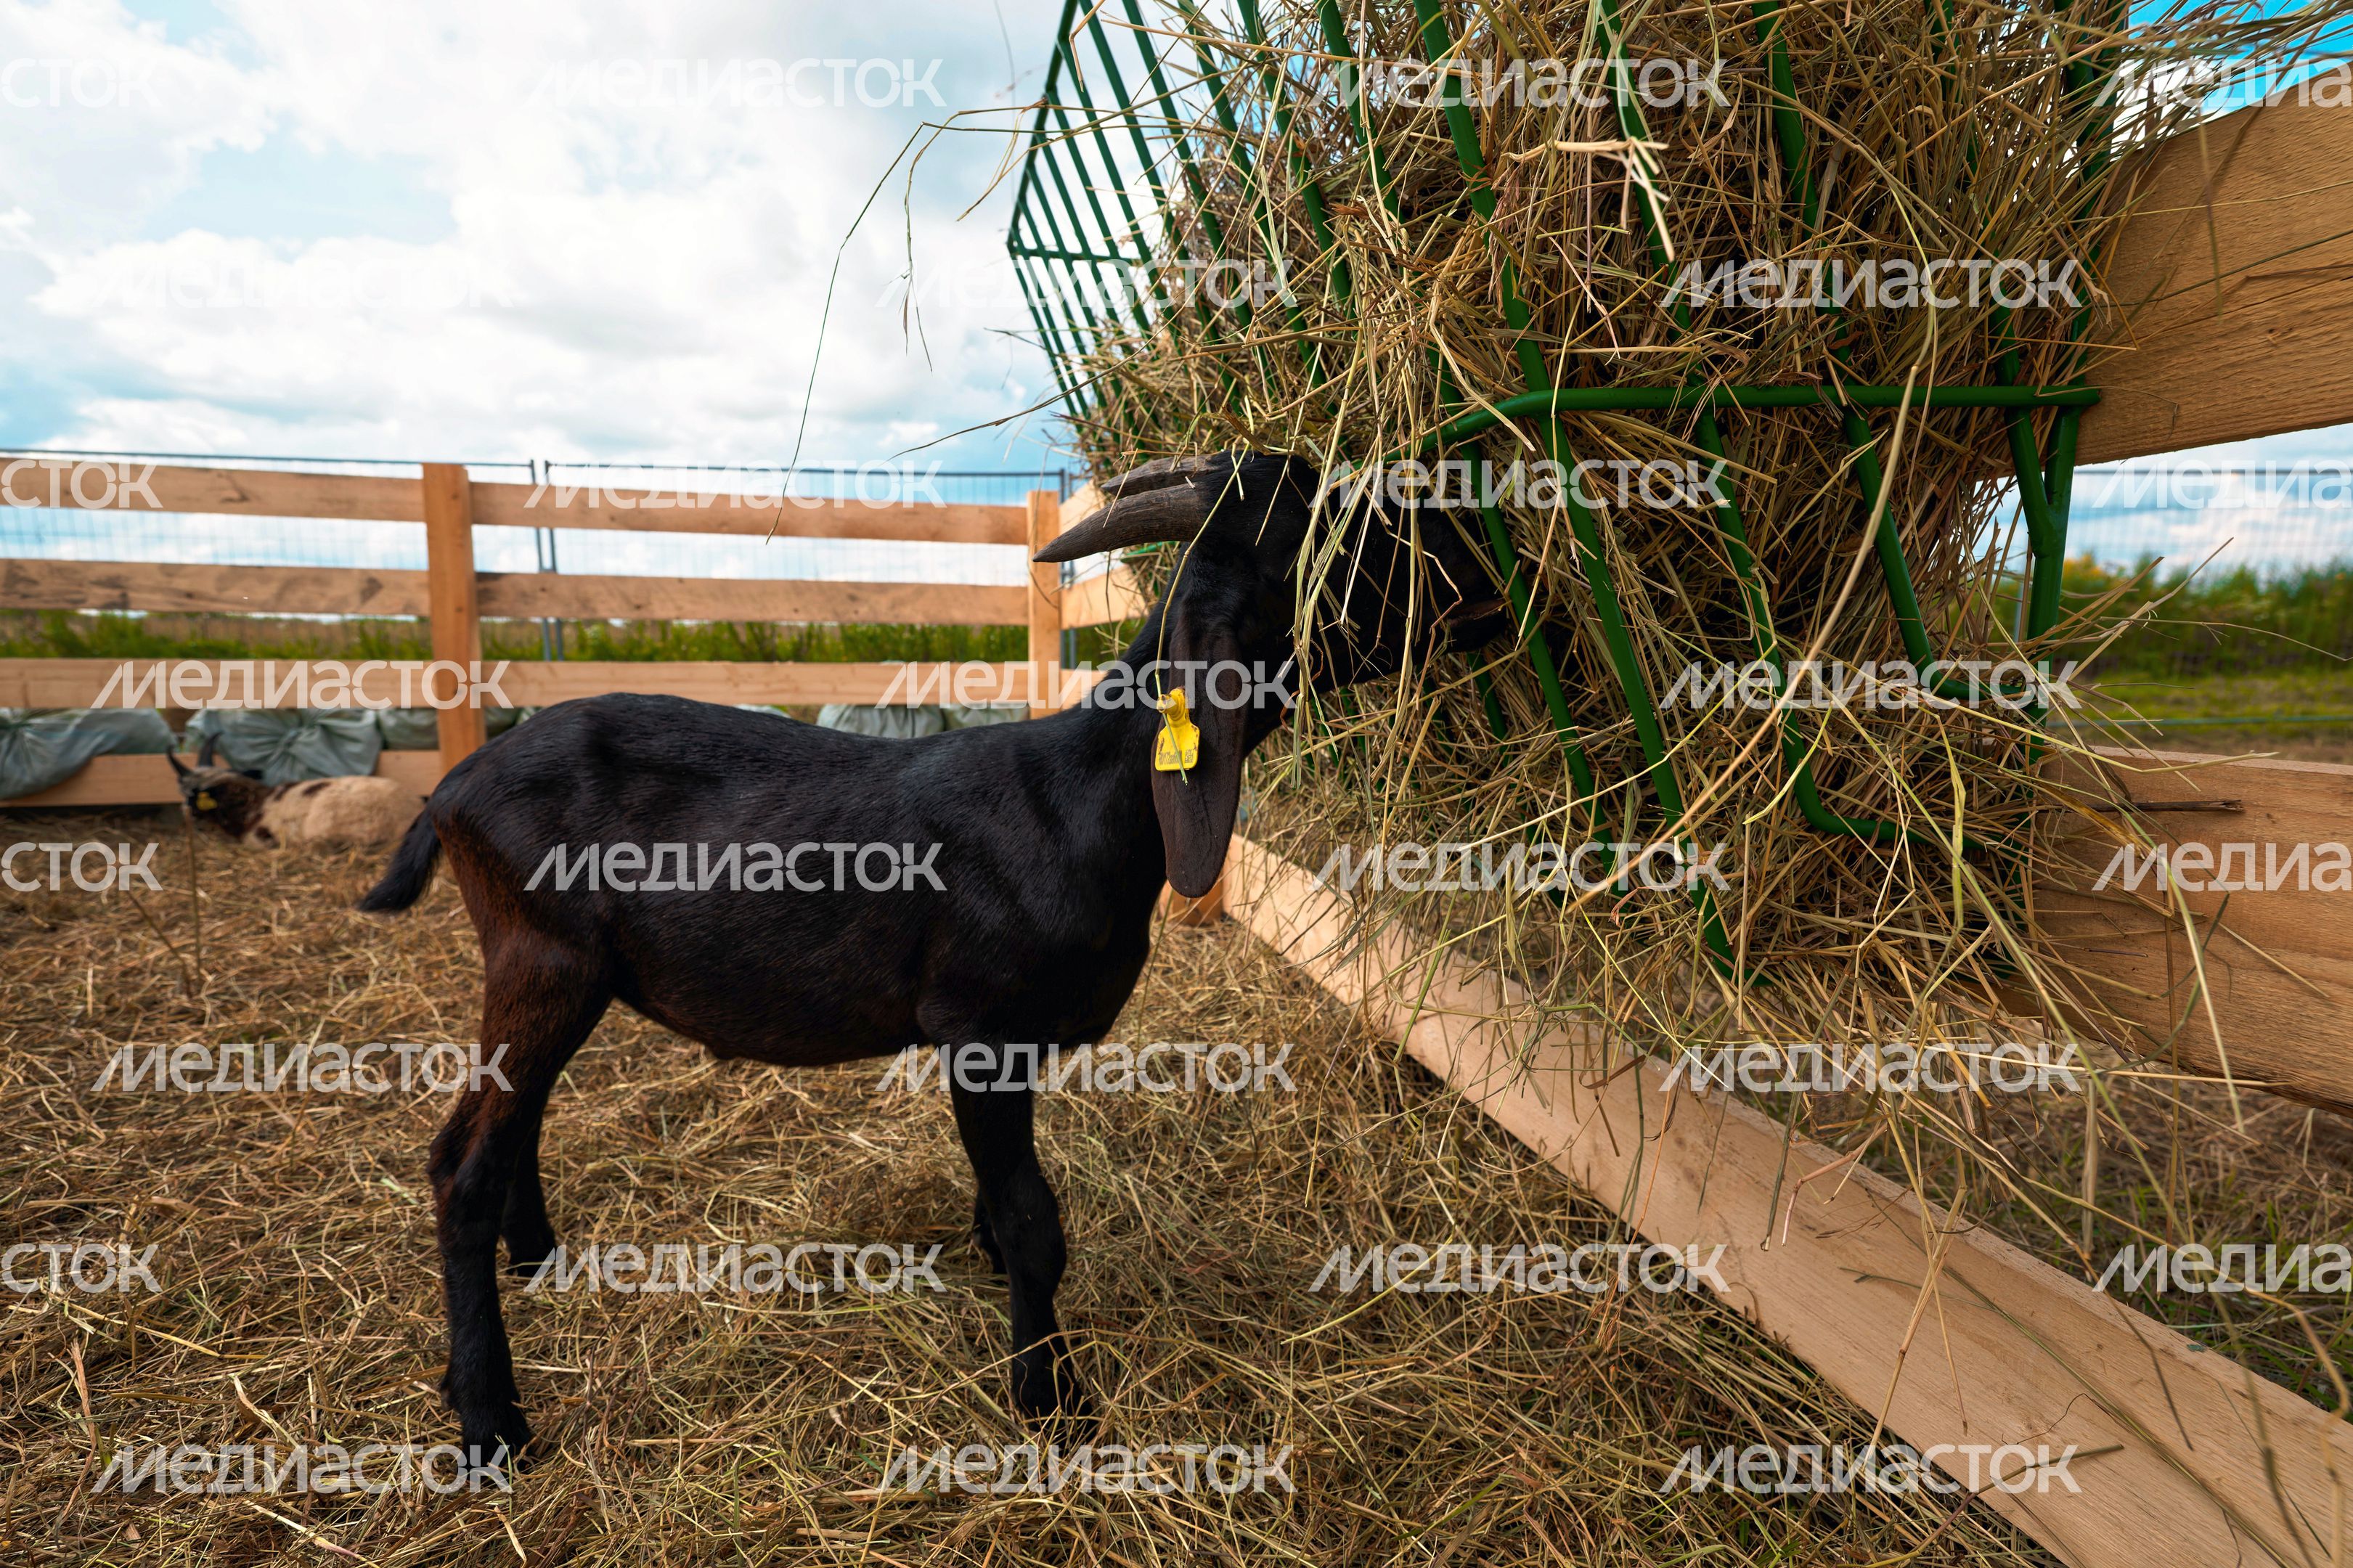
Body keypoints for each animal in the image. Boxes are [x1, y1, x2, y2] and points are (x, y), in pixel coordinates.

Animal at [356, 451, 1509, 1471]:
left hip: (558, 978)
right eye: (1322, 537)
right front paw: (1049, 1396)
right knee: (461, 1162)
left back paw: (538, 1259)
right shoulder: (979, 1030)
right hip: (541, 958)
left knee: (518, 1122)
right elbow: (1037, 1218)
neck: (1083, 797)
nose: (1491, 581)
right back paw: (490, 1423)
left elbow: (1002, 1198)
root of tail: (448, 788)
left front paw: (1002, 1286)